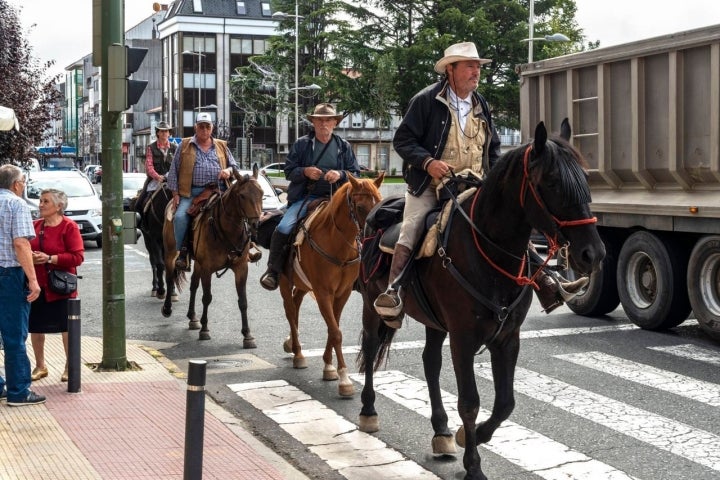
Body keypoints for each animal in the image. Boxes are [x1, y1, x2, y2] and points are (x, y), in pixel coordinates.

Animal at [160, 167, 264, 344]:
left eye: (262, 193)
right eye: (242, 196)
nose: (256, 224)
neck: (226, 230)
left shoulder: (241, 268)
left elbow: (243, 301)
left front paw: (247, 335)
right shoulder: (207, 269)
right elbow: (207, 297)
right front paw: (205, 329)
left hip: (198, 264)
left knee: (193, 285)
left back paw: (193, 317)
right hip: (171, 254)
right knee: (170, 278)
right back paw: (167, 308)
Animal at [280, 174, 386, 396]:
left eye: (380, 203)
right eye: (360, 207)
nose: (372, 236)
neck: (337, 245)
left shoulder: (342, 293)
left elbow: (333, 326)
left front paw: (329, 367)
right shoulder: (323, 293)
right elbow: (336, 332)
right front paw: (344, 378)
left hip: (303, 284)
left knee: (296, 303)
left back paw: (292, 343)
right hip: (285, 281)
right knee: (290, 311)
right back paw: (298, 353)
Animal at [358, 120, 604, 480]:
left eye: (585, 178)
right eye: (552, 181)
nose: (593, 253)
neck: (487, 249)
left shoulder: (508, 338)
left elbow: (505, 402)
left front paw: (469, 436)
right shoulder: (463, 338)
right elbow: (470, 401)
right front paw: (473, 465)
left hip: (435, 322)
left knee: (430, 363)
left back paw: (442, 431)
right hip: (371, 303)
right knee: (372, 346)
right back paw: (368, 410)